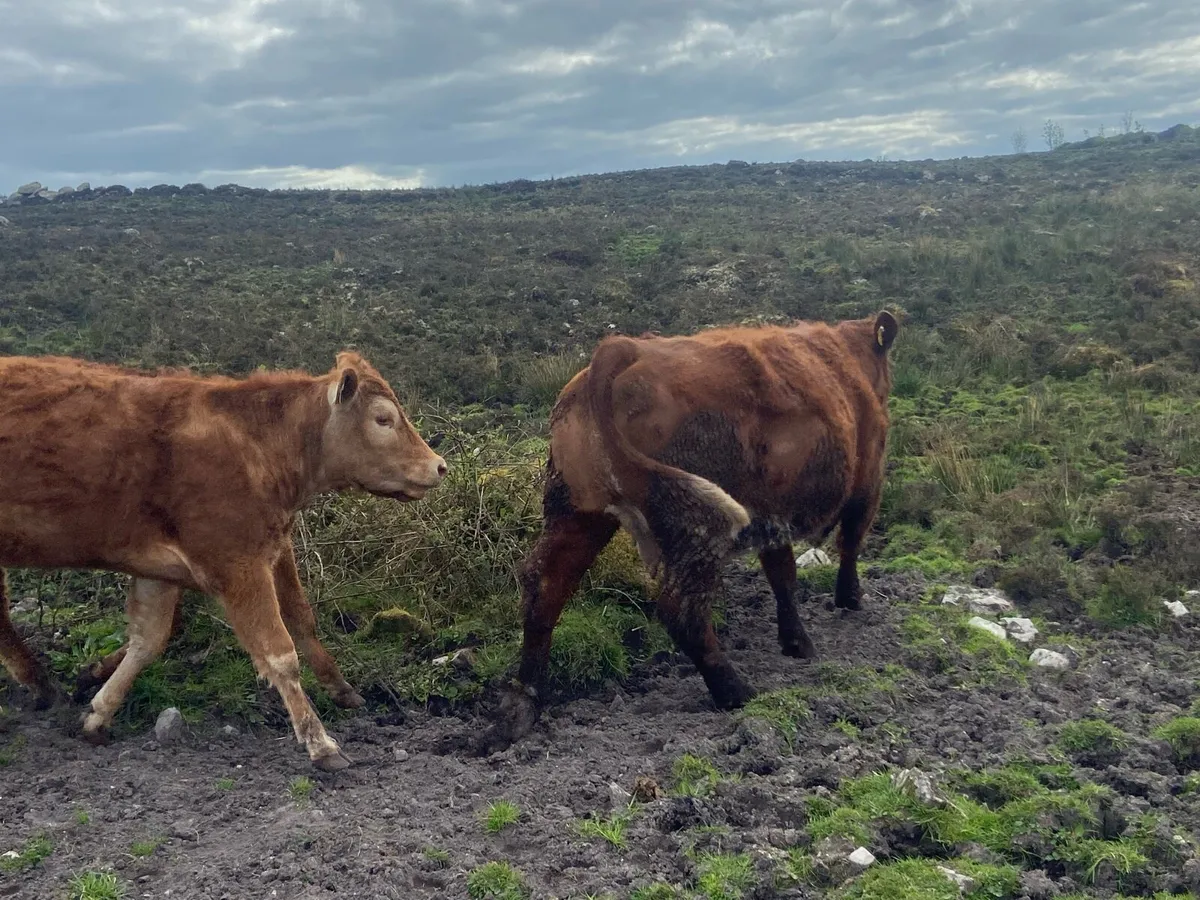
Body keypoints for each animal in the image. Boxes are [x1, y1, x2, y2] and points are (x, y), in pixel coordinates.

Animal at [0, 351, 446, 771]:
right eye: (383, 419)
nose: (438, 466)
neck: (255, 443)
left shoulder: (169, 567)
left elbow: (149, 640)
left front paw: (98, 713)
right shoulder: (238, 563)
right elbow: (280, 653)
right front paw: (320, 743)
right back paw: (40, 683)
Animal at [482, 310, 899, 750]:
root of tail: (621, 349)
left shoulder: (773, 511)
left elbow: (783, 574)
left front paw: (796, 641)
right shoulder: (869, 478)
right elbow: (849, 542)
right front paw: (849, 600)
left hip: (579, 513)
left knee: (544, 586)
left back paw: (520, 705)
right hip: (696, 528)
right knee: (681, 609)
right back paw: (735, 691)